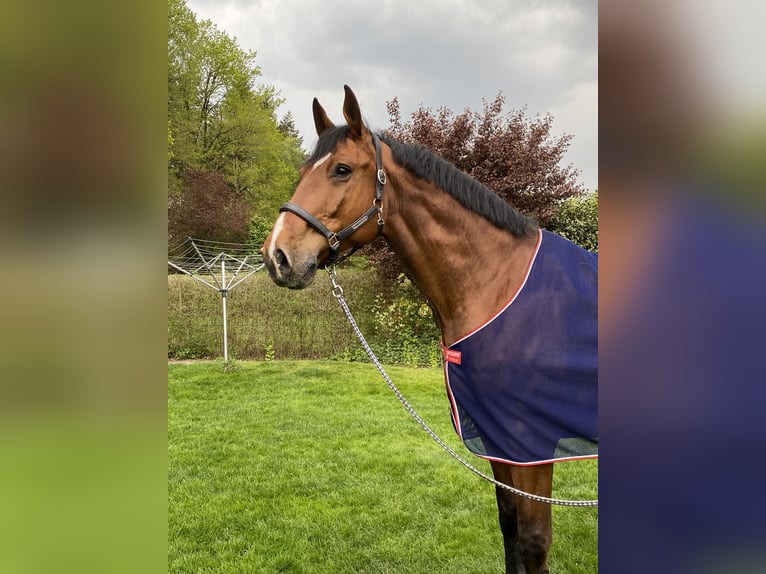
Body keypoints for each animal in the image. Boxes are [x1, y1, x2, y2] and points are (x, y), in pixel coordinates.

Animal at [264, 86, 600, 574]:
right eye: (304, 171)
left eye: (341, 169)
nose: (278, 256)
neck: (495, 283)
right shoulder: (497, 438)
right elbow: (509, 527)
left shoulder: (529, 442)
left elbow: (534, 541)